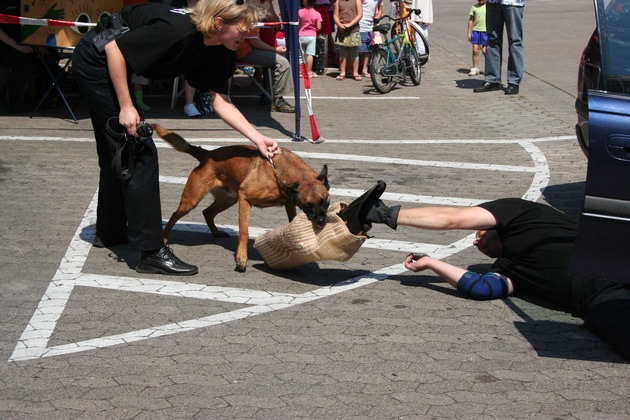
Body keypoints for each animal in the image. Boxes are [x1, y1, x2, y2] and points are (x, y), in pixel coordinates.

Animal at [154, 124, 330, 272]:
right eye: (307, 206)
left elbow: (291, 220)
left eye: (325, 202)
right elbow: (244, 232)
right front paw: (241, 258)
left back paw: (216, 232)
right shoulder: (245, 199)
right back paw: (164, 238)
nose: (322, 221)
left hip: (228, 199)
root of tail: (207, 154)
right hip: (192, 200)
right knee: (175, 215)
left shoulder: (289, 203)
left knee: (207, 212)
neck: (278, 171)